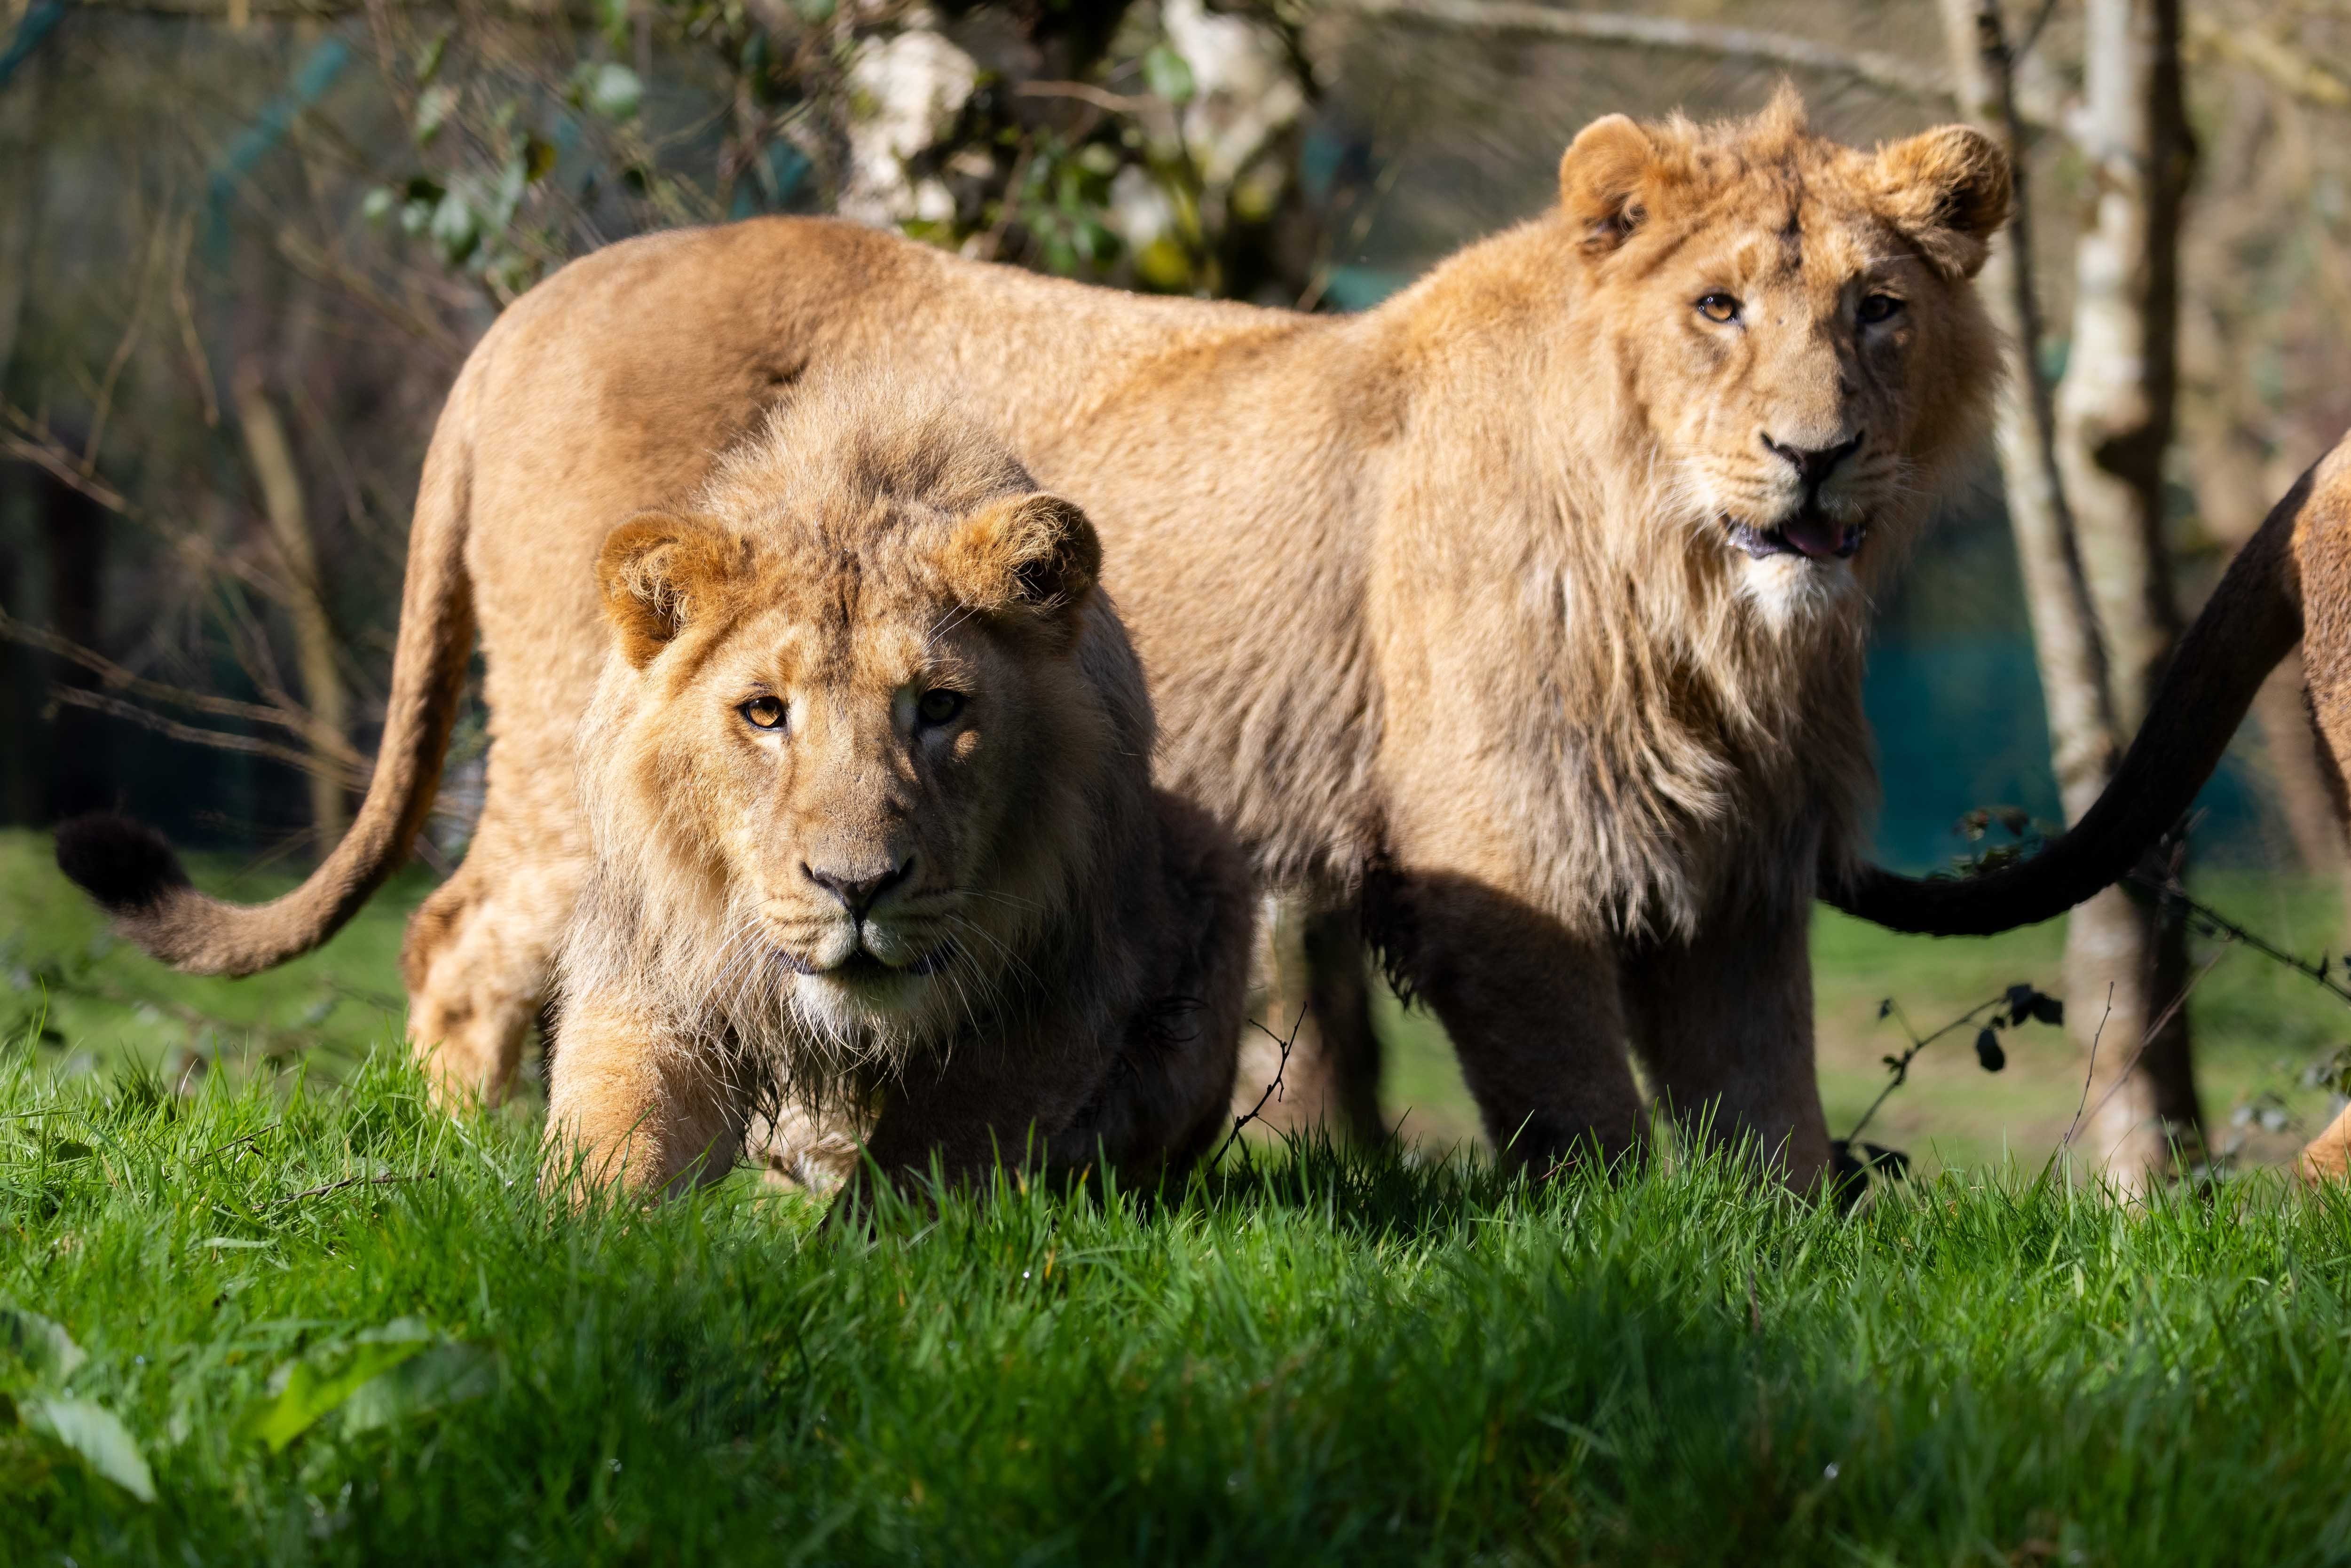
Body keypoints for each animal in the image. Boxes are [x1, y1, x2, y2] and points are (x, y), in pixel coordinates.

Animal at [538, 383, 1252, 1196]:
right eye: (765, 712)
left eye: (940, 706)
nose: (857, 887)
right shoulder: (649, 973)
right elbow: (612, 1147)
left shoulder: (1053, 999)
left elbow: (918, 1174)